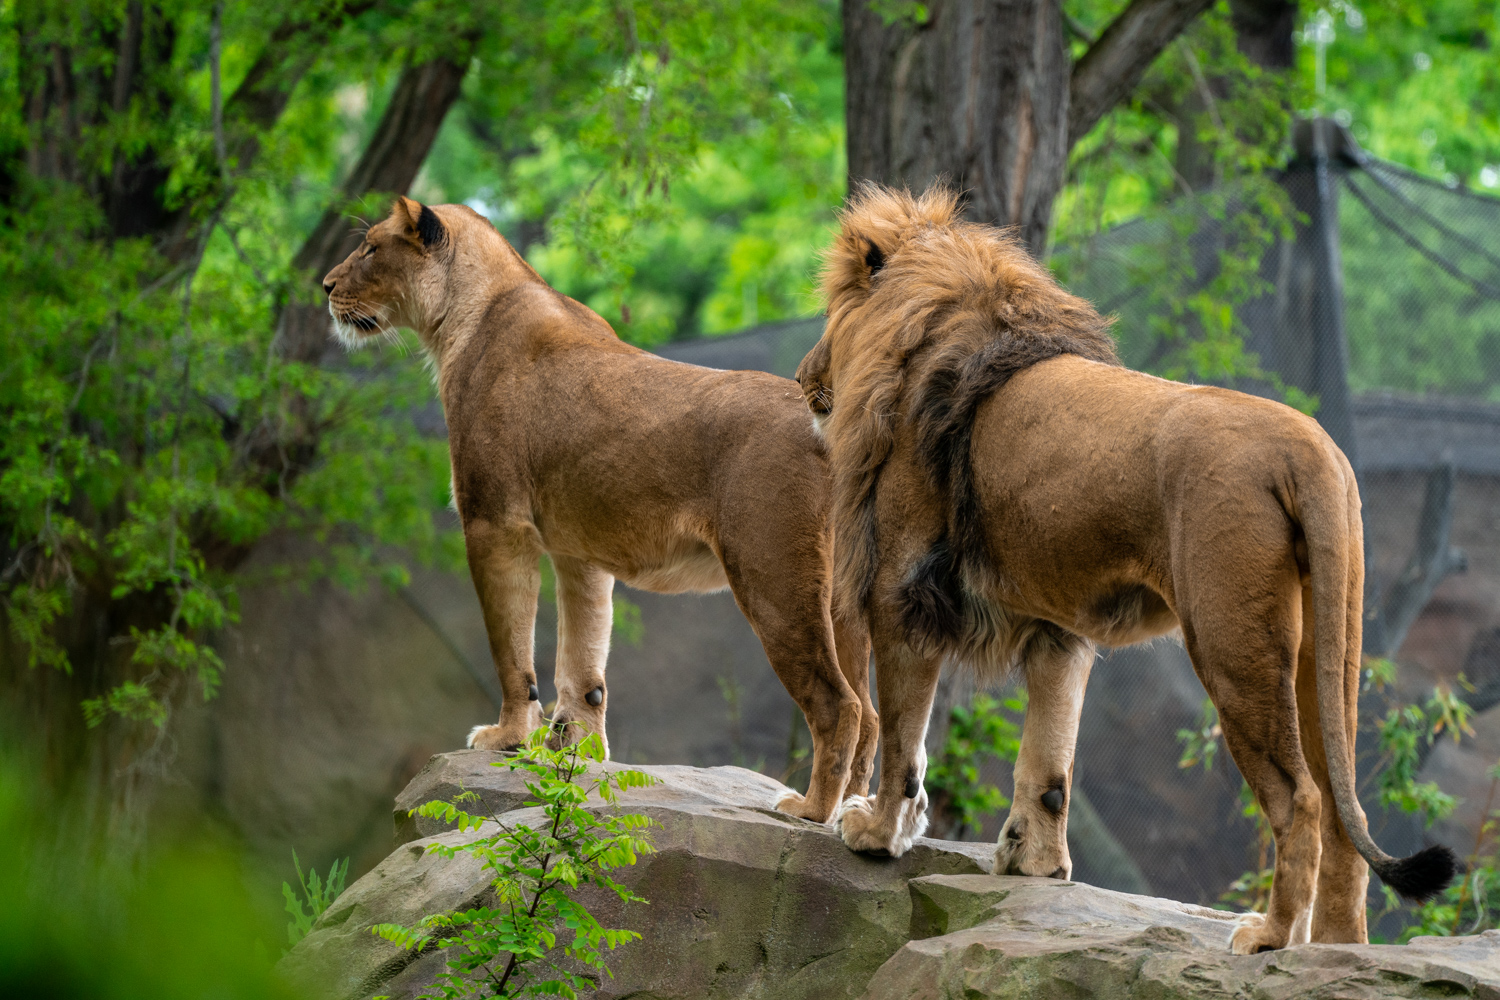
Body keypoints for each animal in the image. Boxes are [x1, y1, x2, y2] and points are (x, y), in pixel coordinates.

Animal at [319, 196, 877, 824]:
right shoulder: (577, 548)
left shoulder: (495, 523)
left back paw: (810, 811)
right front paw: (578, 749)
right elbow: (583, 656)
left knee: (840, 704)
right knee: (874, 714)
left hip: (774, 578)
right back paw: (858, 815)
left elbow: (511, 647)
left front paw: (507, 737)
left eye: (370, 248)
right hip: (841, 598)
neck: (463, 316)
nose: (326, 286)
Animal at [796, 184, 1457, 953]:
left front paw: (876, 832)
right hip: (1328, 648)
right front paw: (1035, 863)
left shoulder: (902, 595)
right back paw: (1335, 950)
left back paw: (1269, 936)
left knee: (1302, 798)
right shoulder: (1056, 628)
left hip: (1230, 640)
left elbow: (906, 740)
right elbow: (1049, 759)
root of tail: (1310, 448)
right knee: (1347, 809)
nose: (804, 379)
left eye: (832, 315)